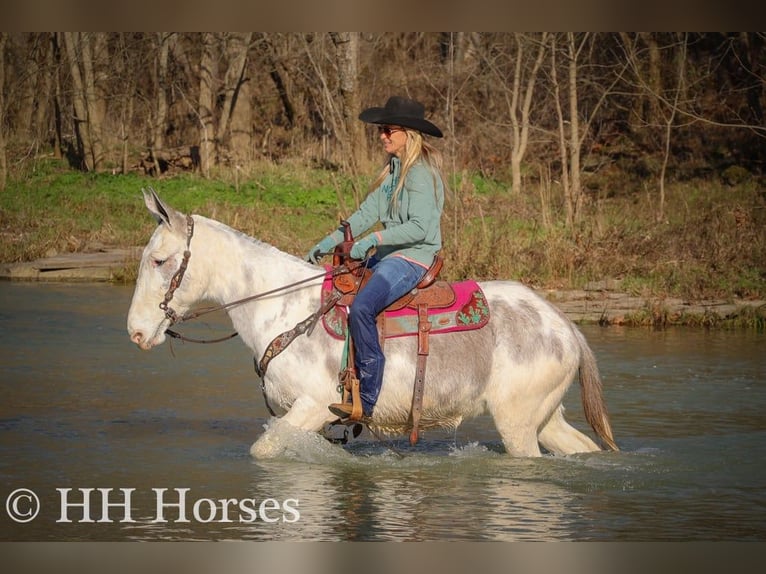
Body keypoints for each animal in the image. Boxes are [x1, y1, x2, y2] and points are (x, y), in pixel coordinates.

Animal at [127, 188, 619, 459]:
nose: (136, 332)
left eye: (159, 260)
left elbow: (264, 451)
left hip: (518, 423)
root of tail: (565, 325)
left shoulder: (312, 406)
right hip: (544, 418)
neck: (284, 309)